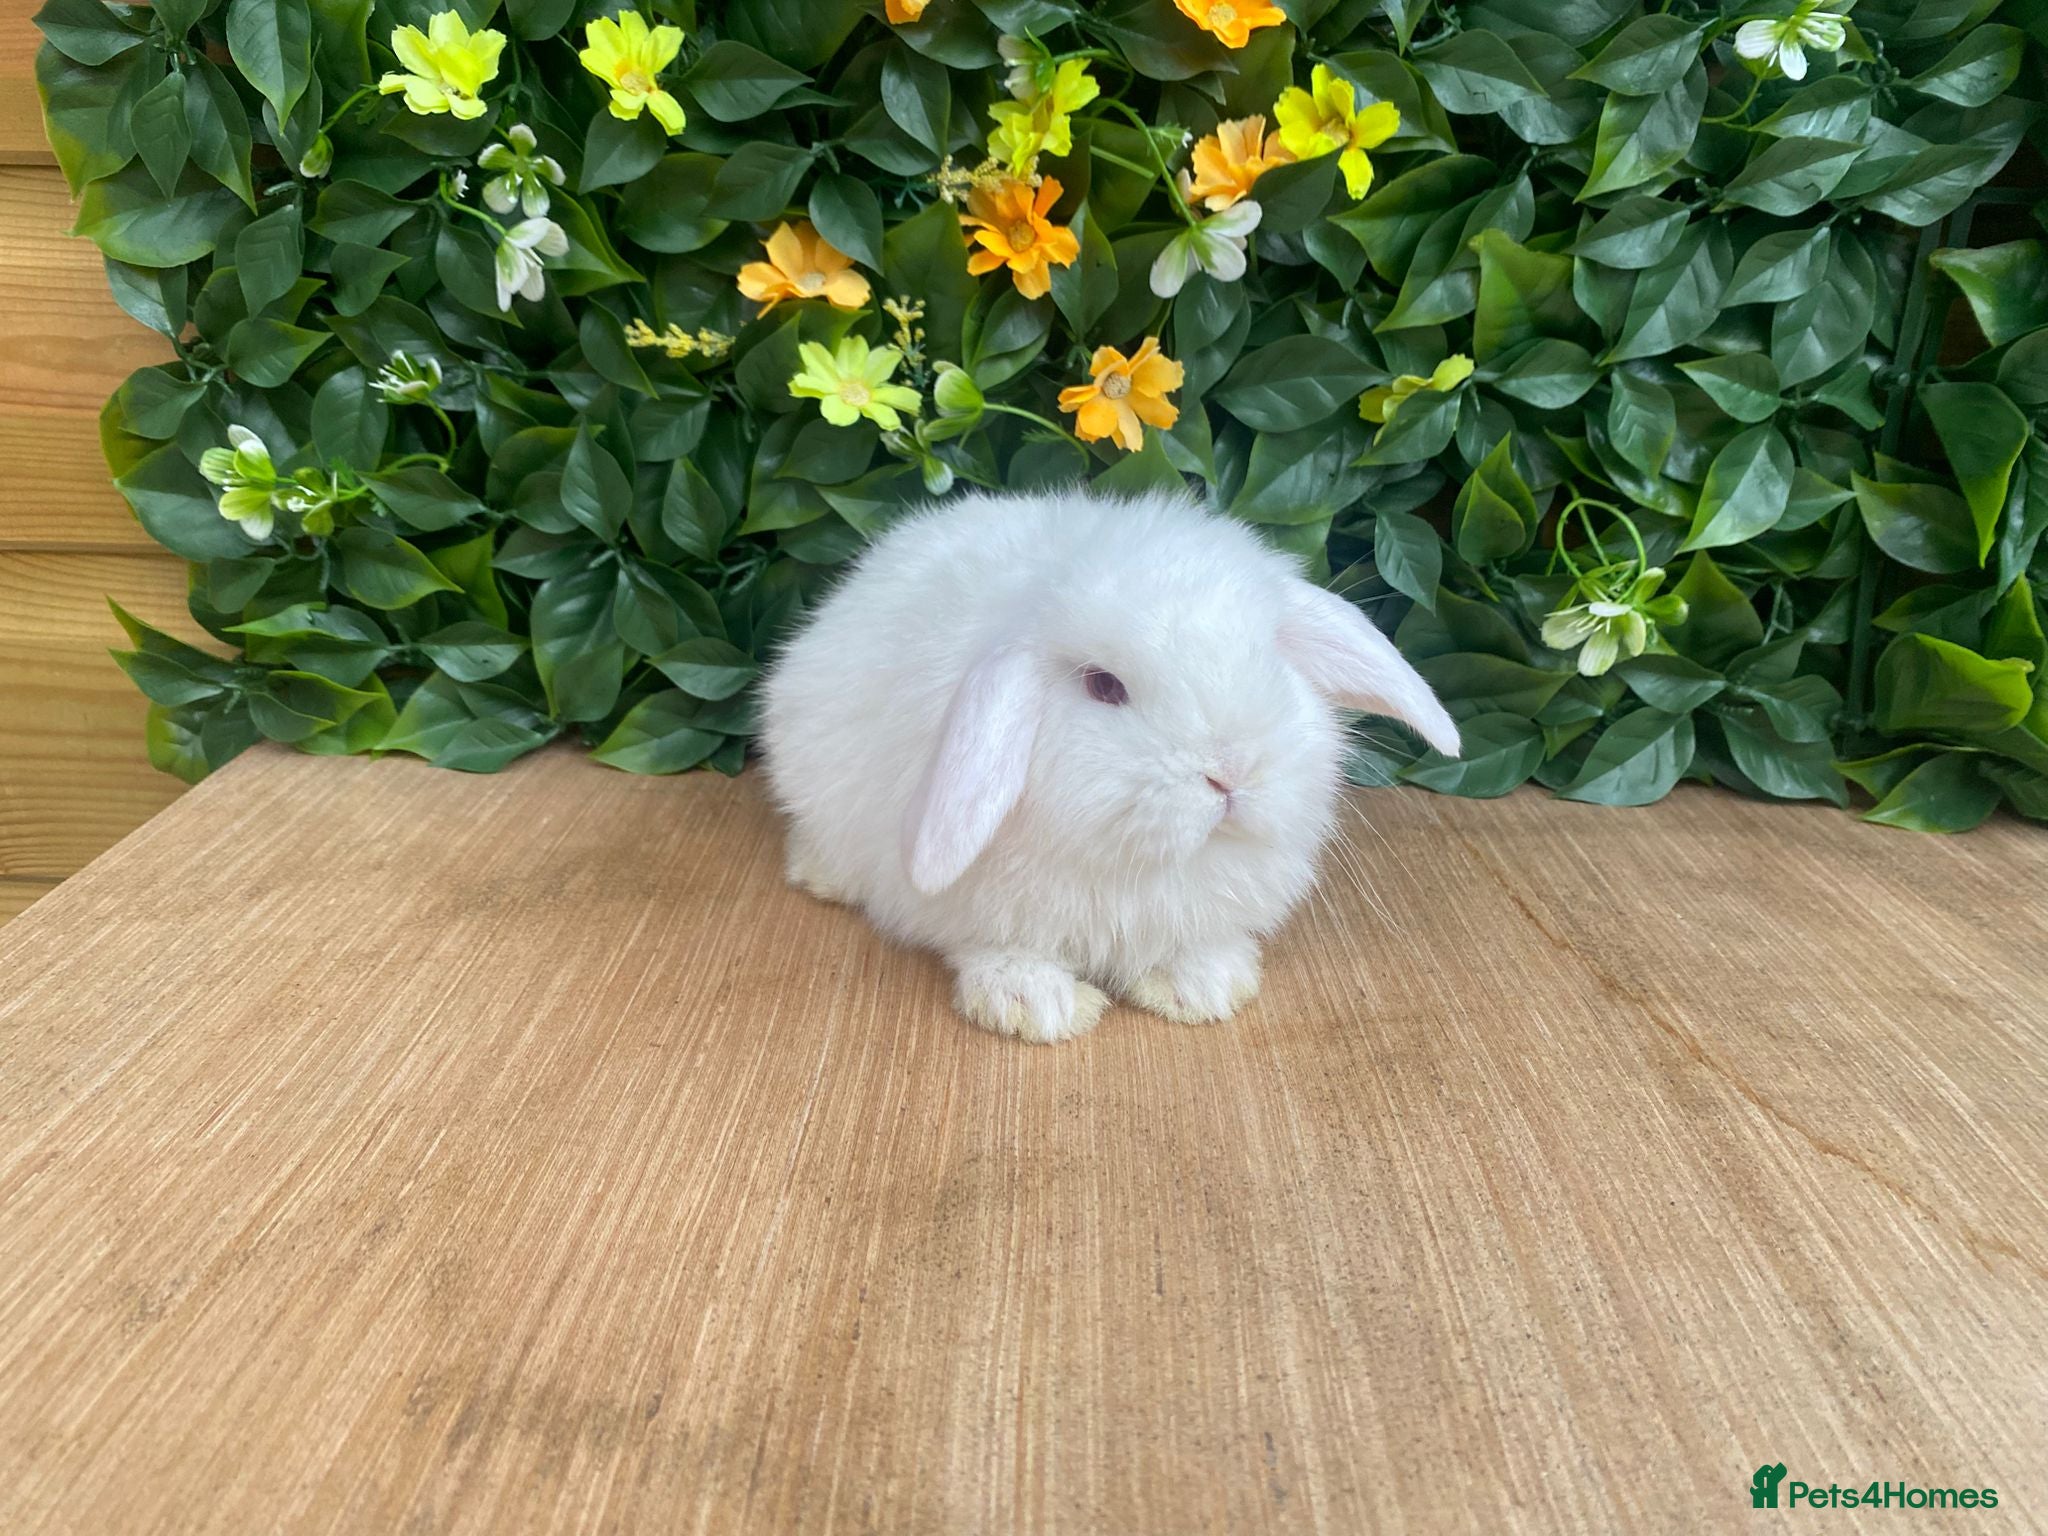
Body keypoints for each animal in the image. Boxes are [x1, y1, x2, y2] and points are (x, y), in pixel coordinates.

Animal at [759, 488, 1460, 1044]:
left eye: (1267, 657)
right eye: (1103, 685)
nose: (1232, 771)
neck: (1142, 864)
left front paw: (1202, 988)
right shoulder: (988, 909)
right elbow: (1002, 949)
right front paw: (1037, 1006)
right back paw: (822, 876)